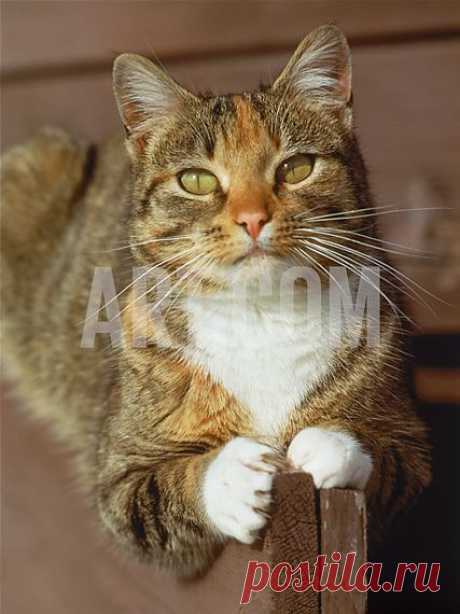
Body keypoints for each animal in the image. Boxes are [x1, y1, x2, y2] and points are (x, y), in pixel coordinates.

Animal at [0, 26, 432, 576]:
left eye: (297, 167)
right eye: (197, 180)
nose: (252, 217)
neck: (263, 315)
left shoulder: (412, 444)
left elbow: (394, 463)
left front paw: (329, 446)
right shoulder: (118, 471)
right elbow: (151, 492)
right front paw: (233, 481)